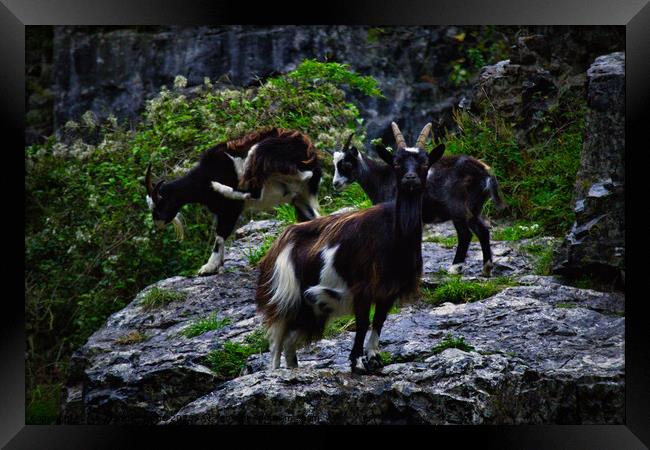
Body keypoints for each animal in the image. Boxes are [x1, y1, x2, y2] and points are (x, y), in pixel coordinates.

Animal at [145, 126, 322, 274]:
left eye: (160, 204)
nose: (158, 223)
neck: (203, 177)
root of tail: (308, 149)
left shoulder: (230, 210)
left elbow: (220, 235)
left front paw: (208, 267)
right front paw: (217, 264)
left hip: (260, 152)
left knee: (256, 191)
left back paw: (221, 187)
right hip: (301, 196)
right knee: (312, 215)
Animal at [332, 130, 504, 278]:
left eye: (346, 164)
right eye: (335, 164)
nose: (335, 184)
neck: (381, 178)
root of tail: (486, 172)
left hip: (459, 208)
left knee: (469, 233)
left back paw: (461, 268)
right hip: (474, 207)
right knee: (478, 231)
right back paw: (480, 268)